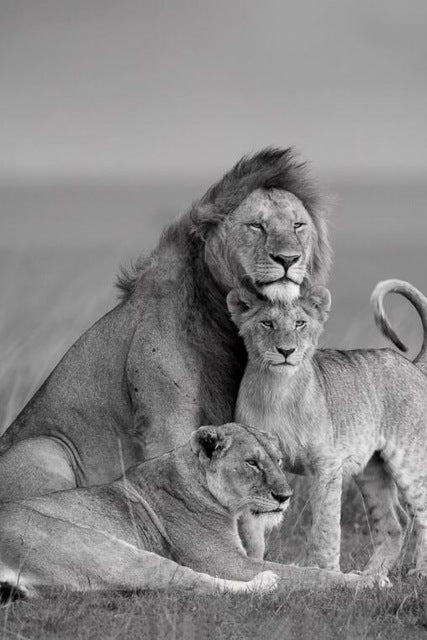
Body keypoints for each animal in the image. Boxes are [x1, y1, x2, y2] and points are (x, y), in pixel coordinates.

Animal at [0, 148, 331, 502]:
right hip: (46, 449)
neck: (223, 316)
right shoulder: (167, 423)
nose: (288, 259)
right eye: (256, 226)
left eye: (298, 225)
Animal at [0, 423, 368, 598]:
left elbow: (303, 567)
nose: (286, 496)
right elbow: (308, 574)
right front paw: (364, 580)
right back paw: (266, 583)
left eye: (278, 461)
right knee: (192, 582)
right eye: (251, 463)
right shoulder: (226, 561)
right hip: (100, 547)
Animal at [227, 280, 427, 579]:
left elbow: (325, 528)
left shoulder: (327, 464)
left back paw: (419, 573)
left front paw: (329, 575)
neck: (277, 390)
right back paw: (371, 576)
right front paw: (253, 567)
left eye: (299, 323)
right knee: (395, 523)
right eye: (267, 323)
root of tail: (412, 365)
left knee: (422, 512)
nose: (286, 351)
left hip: (409, 460)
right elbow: (252, 529)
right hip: (371, 470)